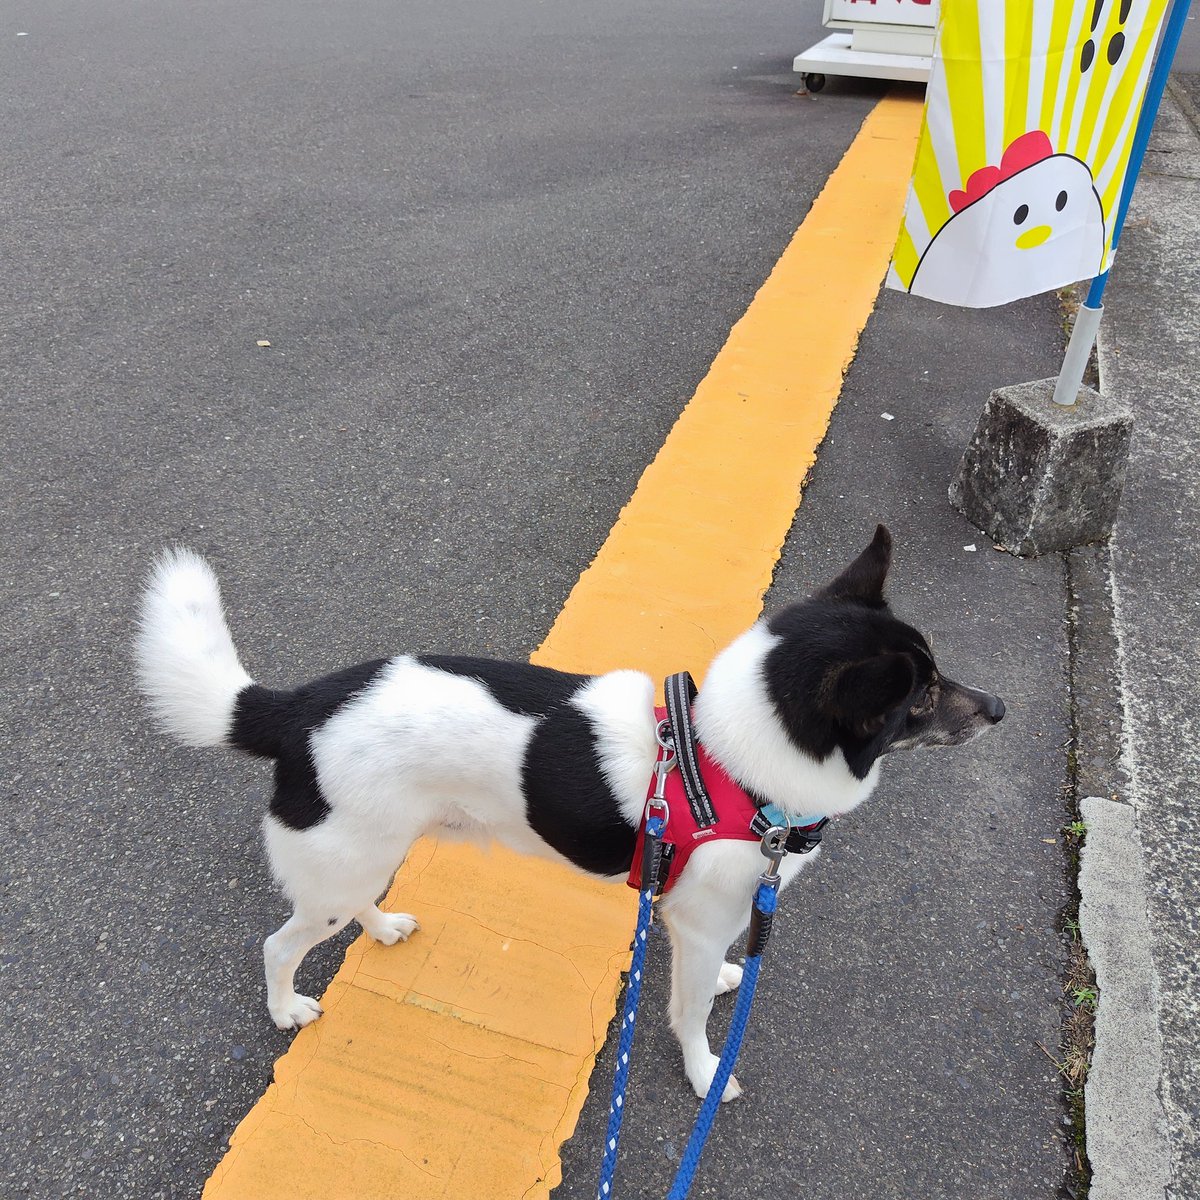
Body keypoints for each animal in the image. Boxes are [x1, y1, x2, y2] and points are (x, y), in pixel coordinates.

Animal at [136, 525, 1003, 1099]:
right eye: (921, 697)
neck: (727, 760)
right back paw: (287, 1007)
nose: (998, 708)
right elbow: (690, 1012)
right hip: (340, 860)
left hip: (368, 852)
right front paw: (704, 1073)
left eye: (936, 674)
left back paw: (381, 928)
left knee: (350, 907)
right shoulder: (697, 925)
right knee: (281, 944)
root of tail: (296, 709)